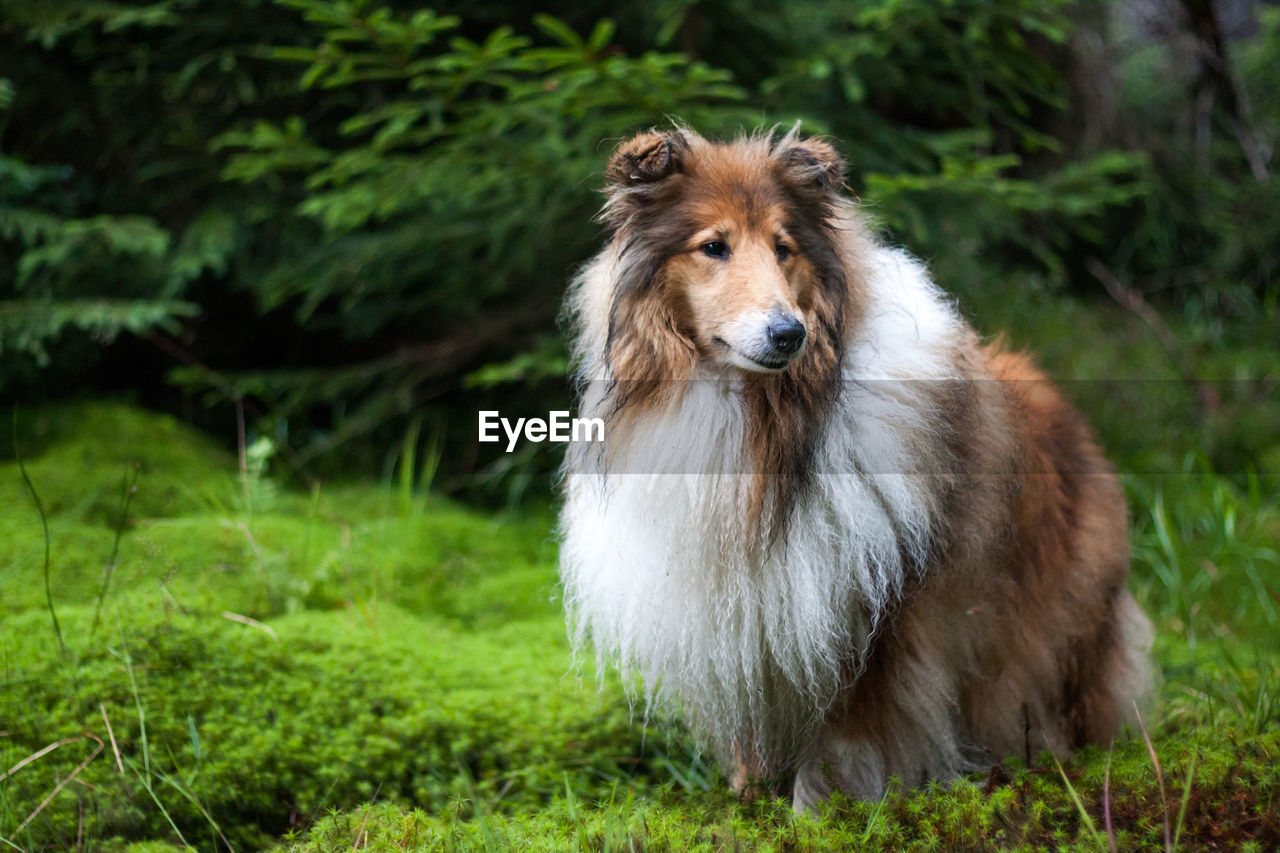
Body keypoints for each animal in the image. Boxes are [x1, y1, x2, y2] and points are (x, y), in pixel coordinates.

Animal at [555, 124, 1157, 804]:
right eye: (713, 246)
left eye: (784, 248)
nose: (788, 334)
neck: (763, 422)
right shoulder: (745, 618)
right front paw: (745, 796)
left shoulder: (874, 620)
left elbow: (847, 735)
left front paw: (819, 810)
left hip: (1061, 618)